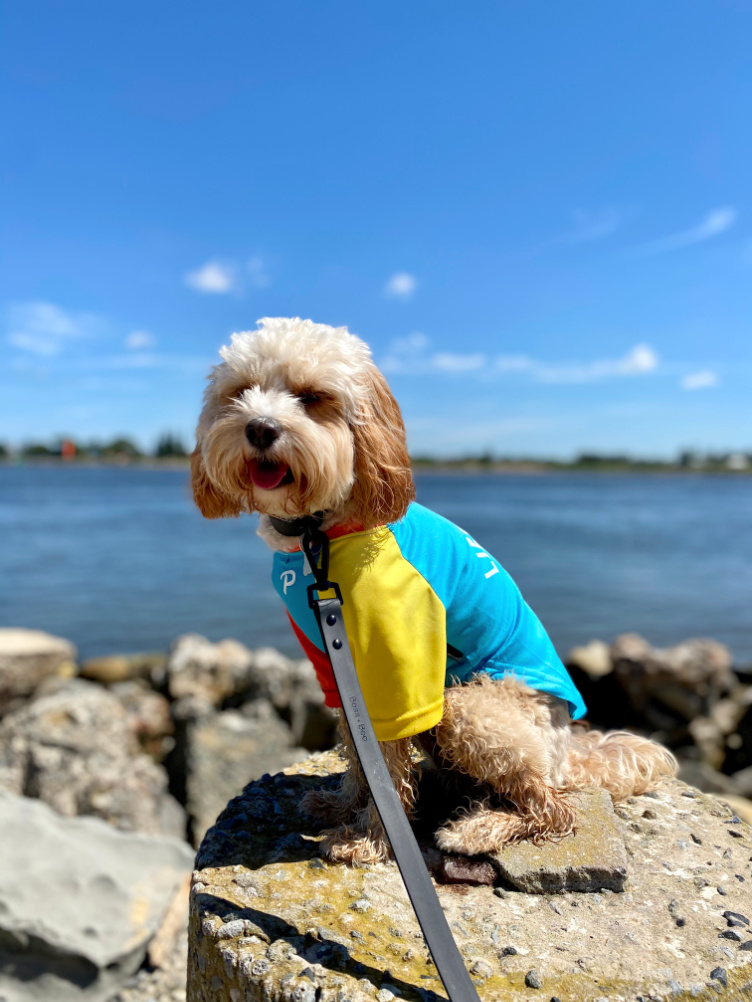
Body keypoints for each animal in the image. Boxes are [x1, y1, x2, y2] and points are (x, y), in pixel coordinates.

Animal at [191, 318, 681, 861]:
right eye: (241, 392)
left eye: (313, 396)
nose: (260, 428)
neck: (319, 534)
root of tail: (566, 750)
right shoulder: (330, 659)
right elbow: (359, 749)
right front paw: (344, 805)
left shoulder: (398, 667)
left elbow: (386, 762)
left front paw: (370, 839)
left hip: (471, 709)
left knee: (554, 809)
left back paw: (478, 828)